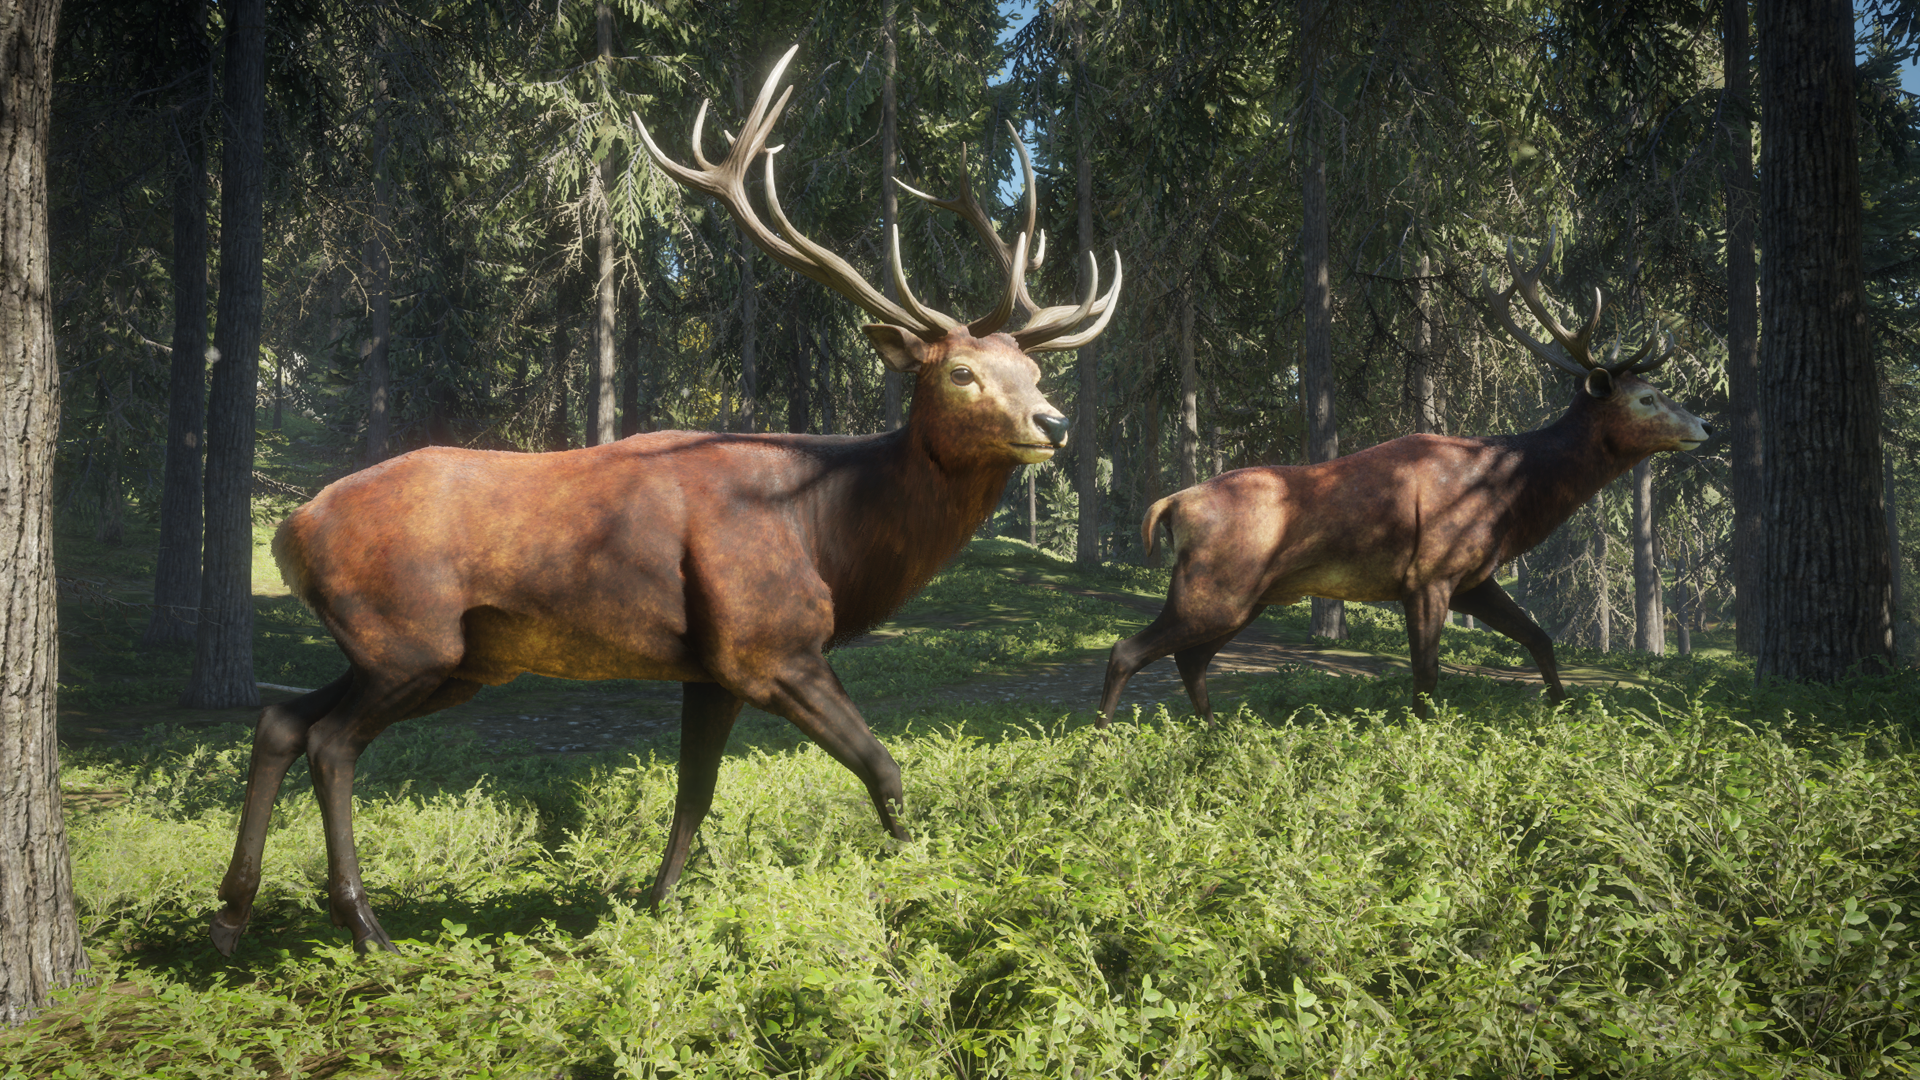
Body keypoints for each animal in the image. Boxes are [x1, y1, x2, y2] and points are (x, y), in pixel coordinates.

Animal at [208, 45, 1122, 956]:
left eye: (1033, 370)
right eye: (961, 372)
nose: (1054, 422)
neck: (827, 532)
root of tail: (292, 529)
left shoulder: (711, 668)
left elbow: (694, 791)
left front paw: (655, 905)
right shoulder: (771, 646)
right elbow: (884, 765)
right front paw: (930, 882)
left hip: (438, 655)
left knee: (281, 720)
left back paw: (232, 913)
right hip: (410, 638)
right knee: (329, 742)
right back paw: (365, 927)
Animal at [1097, 234, 1710, 725]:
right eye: (1647, 397)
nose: (1704, 425)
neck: (1508, 499)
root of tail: (1170, 504)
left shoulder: (1474, 579)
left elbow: (1540, 638)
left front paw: (1562, 710)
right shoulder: (1427, 573)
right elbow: (1426, 675)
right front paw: (1422, 737)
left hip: (1245, 598)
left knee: (1190, 658)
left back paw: (1216, 732)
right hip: (1214, 587)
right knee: (1128, 649)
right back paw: (1104, 739)